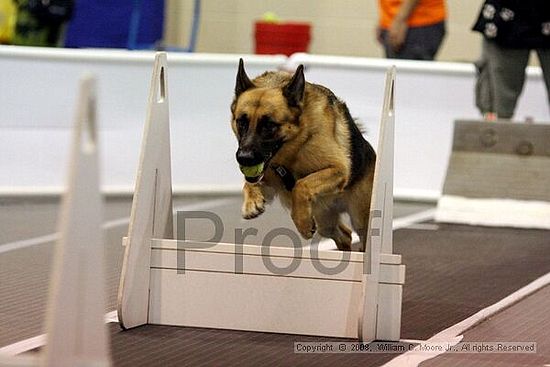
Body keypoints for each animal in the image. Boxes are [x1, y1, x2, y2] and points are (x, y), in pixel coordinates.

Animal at [231, 60, 378, 252]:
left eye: (269, 125)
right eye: (241, 122)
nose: (244, 158)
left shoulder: (338, 170)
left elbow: (301, 184)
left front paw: (302, 223)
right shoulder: (269, 182)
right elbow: (248, 183)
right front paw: (251, 203)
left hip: (361, 218)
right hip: (325, 221)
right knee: (344, 234)